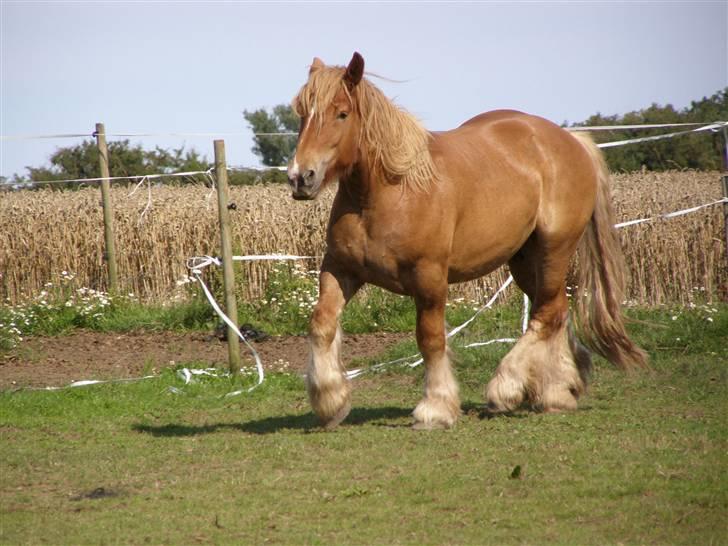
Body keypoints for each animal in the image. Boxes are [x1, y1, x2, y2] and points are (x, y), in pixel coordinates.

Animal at [288, 52, 644, 430]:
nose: (300, 177)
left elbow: (430, 340)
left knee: (547, 314)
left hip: (554, 250)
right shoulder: (340, 269)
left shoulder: (430, 279)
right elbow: (322, 324)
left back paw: (507, 387)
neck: (390, 192)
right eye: (302, 112)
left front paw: (436, 407)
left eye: (341, 113)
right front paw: (330, 401)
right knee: (555, 310)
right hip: (525, 261)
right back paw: (559, 390)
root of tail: (572, 141)